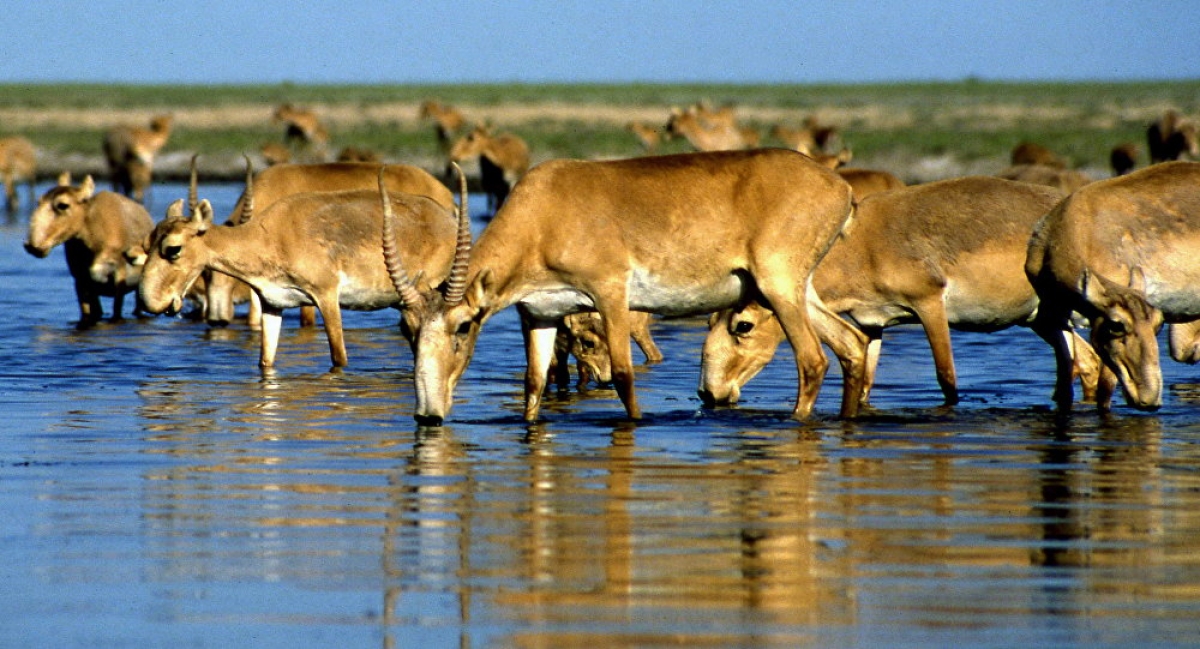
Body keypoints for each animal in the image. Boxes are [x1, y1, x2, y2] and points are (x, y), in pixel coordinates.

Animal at [23, 175, 153, 326]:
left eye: (63, 205)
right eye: (39, 202)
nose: (33, 246)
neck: (94, 243)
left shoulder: (119, 275)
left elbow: (116, 312)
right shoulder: (81, 280)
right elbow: (86, 314)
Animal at [384, 149, 864, 427]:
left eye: (464, 326)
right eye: (411, 331)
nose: (427, 414)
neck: (545, 209)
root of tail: (840, 187)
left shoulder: (610, 295)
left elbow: (623, 375)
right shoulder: (539, 314)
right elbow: (534, 381)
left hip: (778, 287)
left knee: (813, 359)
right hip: (797, 291)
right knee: (852, 344)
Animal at [1022, 159, 1200, 410]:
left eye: (1158, 324)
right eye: (1117, 325)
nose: (1150, 398)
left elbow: (1104, 389)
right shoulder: (1052, 320)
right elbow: (1064, 387)